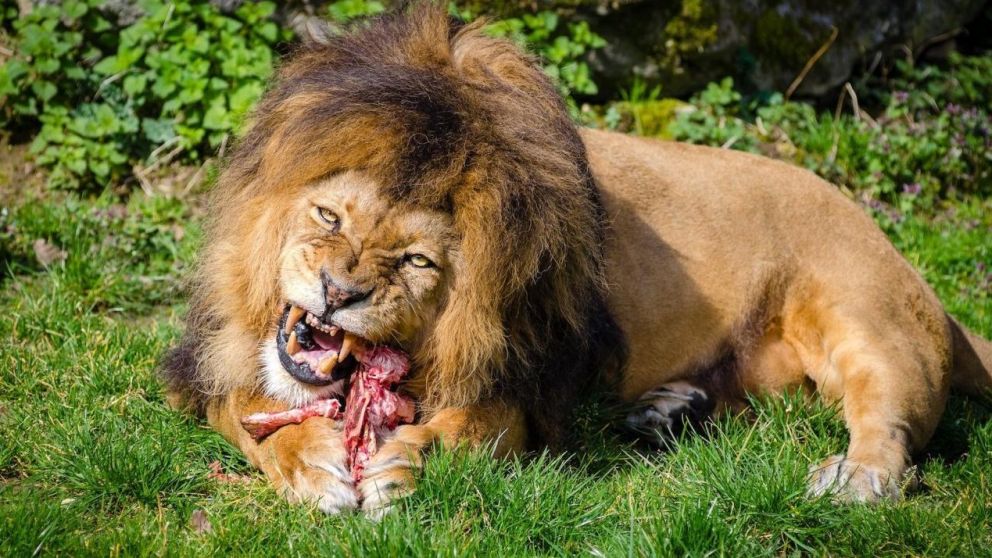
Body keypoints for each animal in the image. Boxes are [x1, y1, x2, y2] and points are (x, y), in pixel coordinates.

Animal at [162, 4, 992, 514]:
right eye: (329, 216)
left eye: (419, 263)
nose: (337, 292)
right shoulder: (210, 361)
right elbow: (252, 415)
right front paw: (313, 466)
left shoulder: (525, 385)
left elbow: (468, 429)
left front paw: (404, 463)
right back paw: (667, 411)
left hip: (865, 317)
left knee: (891, 424)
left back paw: (853, 477)